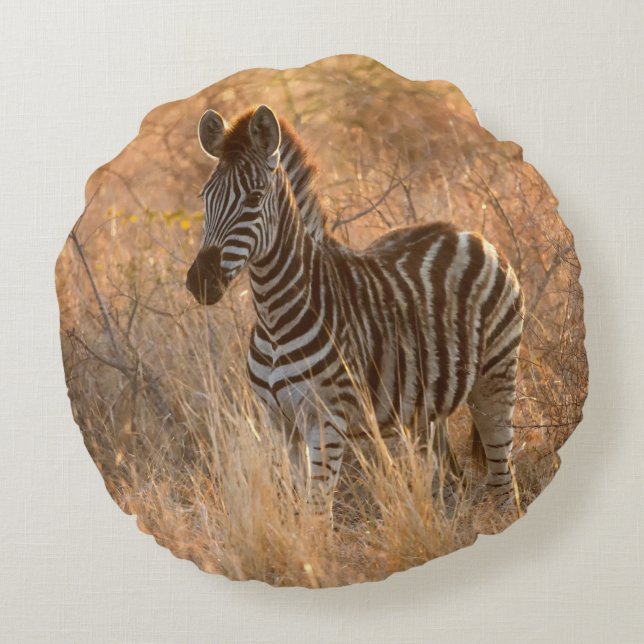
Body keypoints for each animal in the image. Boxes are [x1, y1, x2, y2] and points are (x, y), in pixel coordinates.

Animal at [186, 104, 524, 519]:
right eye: (204, 197)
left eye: (254, 197)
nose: (200, 281)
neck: (274, 318)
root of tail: (469, 233)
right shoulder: (279, 423)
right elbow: (298, 514)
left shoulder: (326, 423)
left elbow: (317, 517)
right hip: (427, 407)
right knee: (448, 481)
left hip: (496, 378)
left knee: (503, 481)